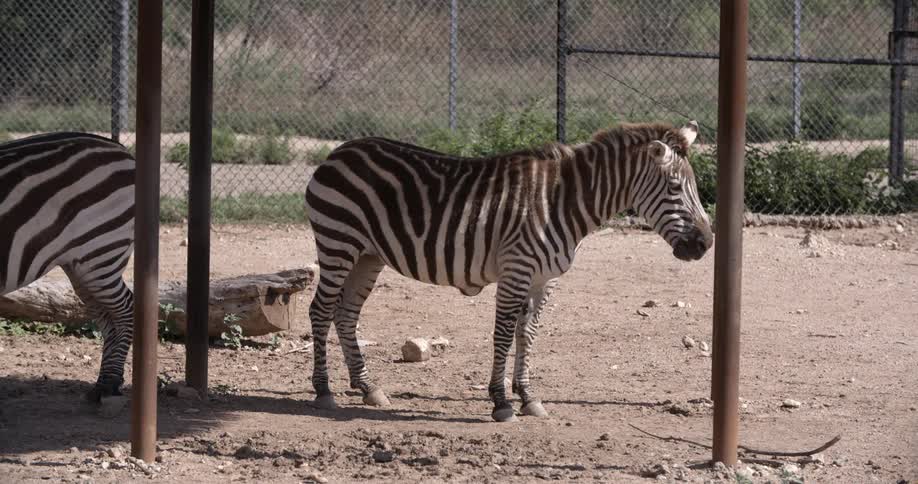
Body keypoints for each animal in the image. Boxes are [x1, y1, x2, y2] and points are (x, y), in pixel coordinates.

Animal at [1, 132, 135, 403]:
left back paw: (110, 384)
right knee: (107, 317)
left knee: (125, 309)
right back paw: (105, 383)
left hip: (102, 252)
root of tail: (120, 148)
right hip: (82, 265)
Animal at [304, 121, 712, 422]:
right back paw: (324, 391)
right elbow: (502, 335)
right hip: (338, 243)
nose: (706, 244)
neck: (561, 202)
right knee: (321, 310)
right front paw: (501, 402)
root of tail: (339, 152)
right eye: (675, 187)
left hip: (368, 255)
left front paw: (528, 396)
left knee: (346, 314)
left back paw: (367, 387)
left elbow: (526, 335)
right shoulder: (516, 270)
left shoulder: (543, 280)